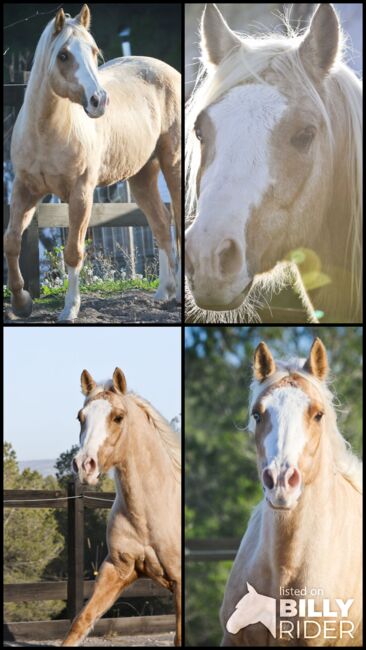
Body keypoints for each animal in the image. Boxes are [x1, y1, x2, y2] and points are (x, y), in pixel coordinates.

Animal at [5, 5, 182, 318]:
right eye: (63, 55)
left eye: (93, 50)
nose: (99, 100)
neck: (46, 132)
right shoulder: (25, 190)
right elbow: (12, 241)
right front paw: (21, 302)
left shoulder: (81, 194)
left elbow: (73, 251)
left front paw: (69, 310)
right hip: (142, 175)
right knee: (161, 222)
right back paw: (164, 293)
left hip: (171, 163)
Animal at [63, 368, 183, 644]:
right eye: (80, 417)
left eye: (118, 417)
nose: (84, 465)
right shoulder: (117, 569)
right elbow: (81, 622)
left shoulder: (180, 582)